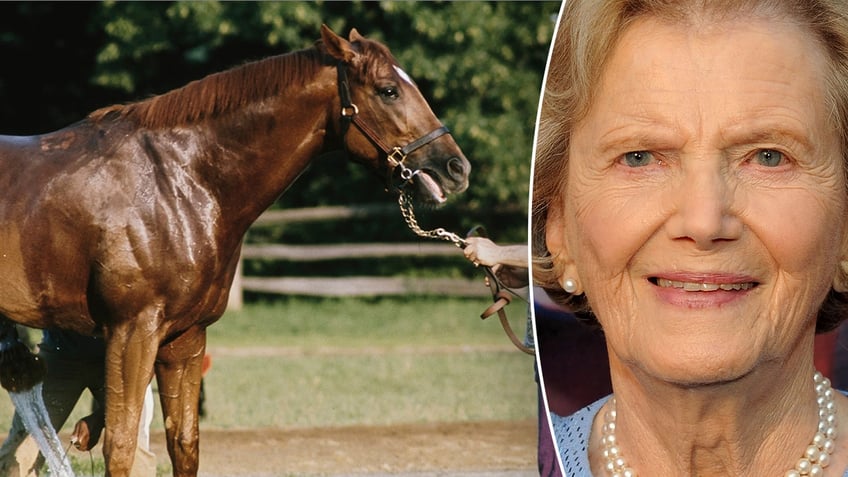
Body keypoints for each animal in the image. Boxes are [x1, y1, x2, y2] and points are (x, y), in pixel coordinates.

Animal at [0, 27, 470, 476]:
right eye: (388, 90)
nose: (456, 167)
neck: (180, 182)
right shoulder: (131, 333)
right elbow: (120, 447)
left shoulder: (185, 340)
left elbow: (184, 445)